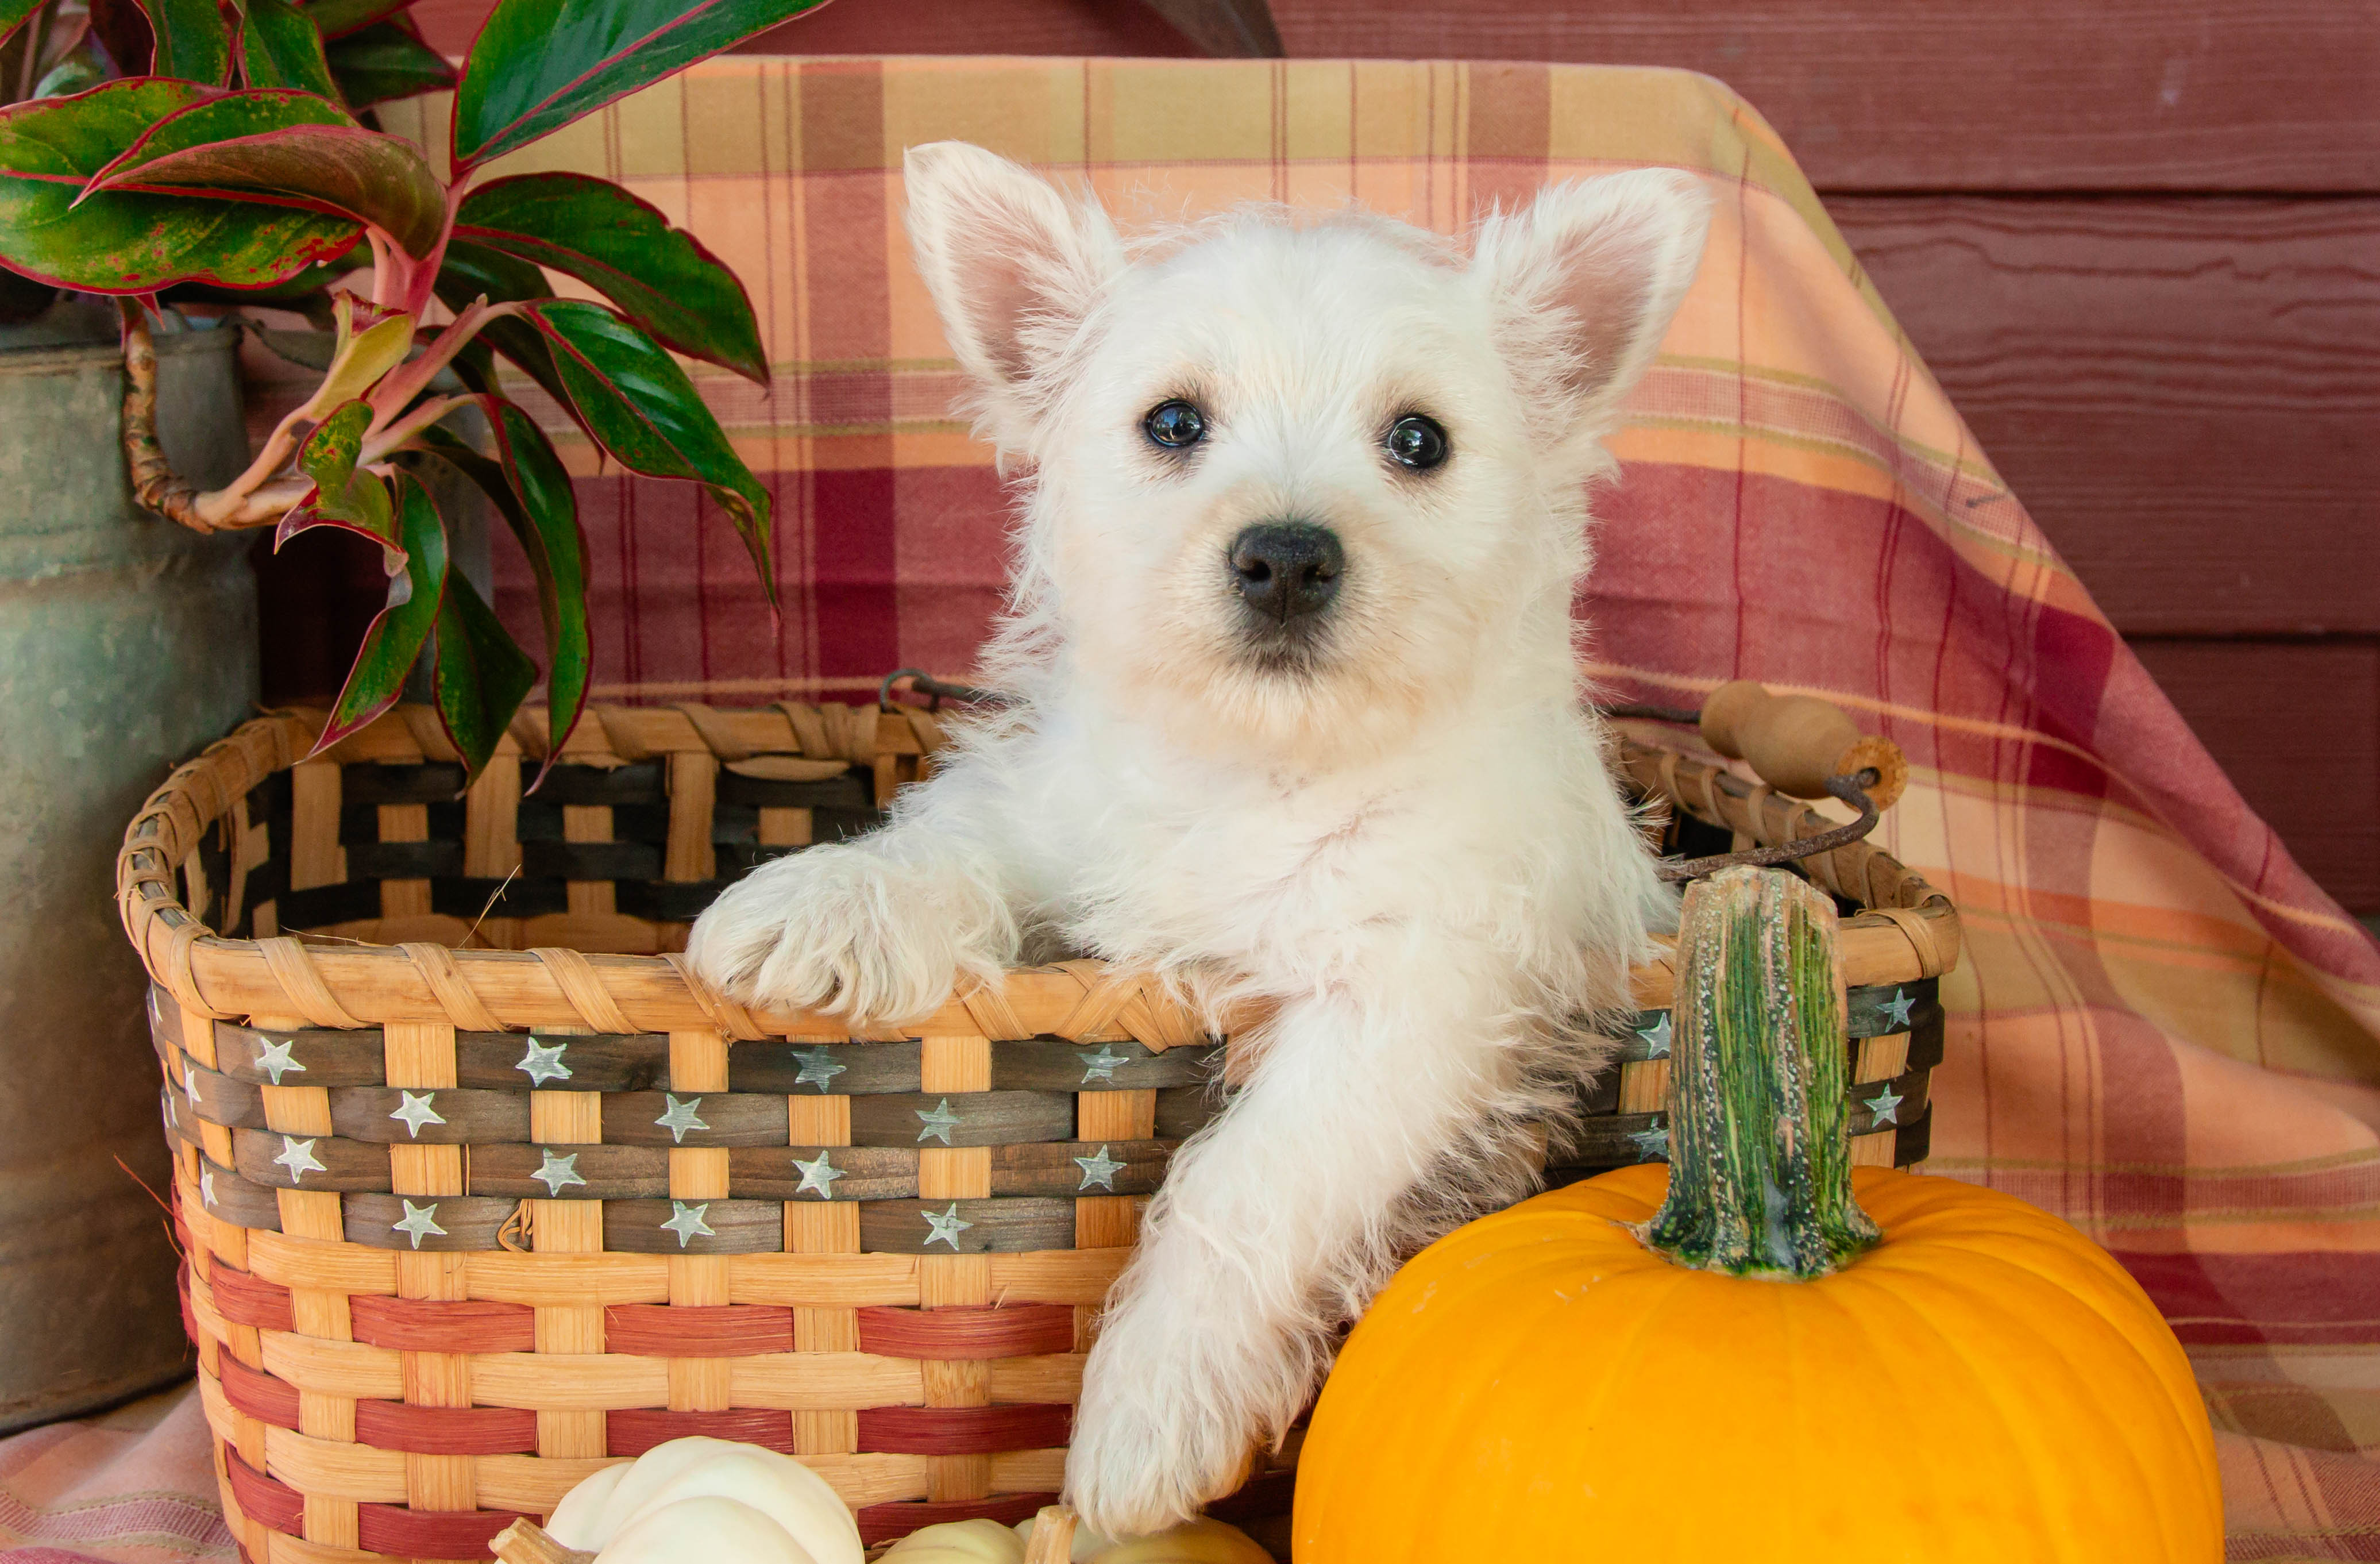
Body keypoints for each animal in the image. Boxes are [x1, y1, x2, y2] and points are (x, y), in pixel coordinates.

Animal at [690, 140, 1713, 1533]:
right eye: (1173, 423)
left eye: (1418, 441)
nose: (1284, 556)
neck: (1257, 768)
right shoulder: (1050, 823)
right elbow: (946, 843)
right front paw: (824, 902)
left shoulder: (1416, 994)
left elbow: (1254, 1175)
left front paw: (1144, 1411)